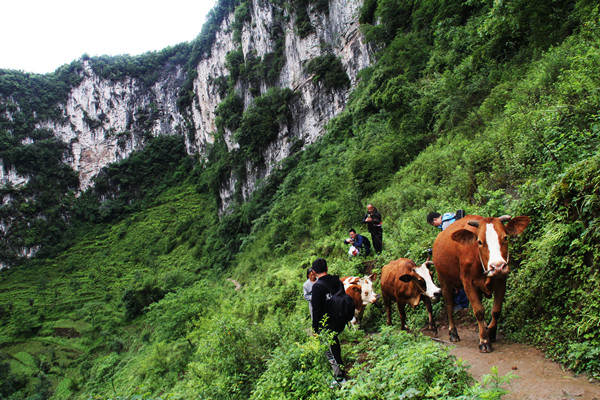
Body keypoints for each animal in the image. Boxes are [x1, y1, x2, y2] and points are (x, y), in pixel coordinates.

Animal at [432, 214, 528, 352]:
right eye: (480, 242)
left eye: (505, 237)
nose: (498, 267)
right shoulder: (468, 283)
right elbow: (479, 311)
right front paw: (484, 340)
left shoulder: (501, 280)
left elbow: (496, 310)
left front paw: (491, 333)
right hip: (444, 280)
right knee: (449, 306)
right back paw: (453, 333)